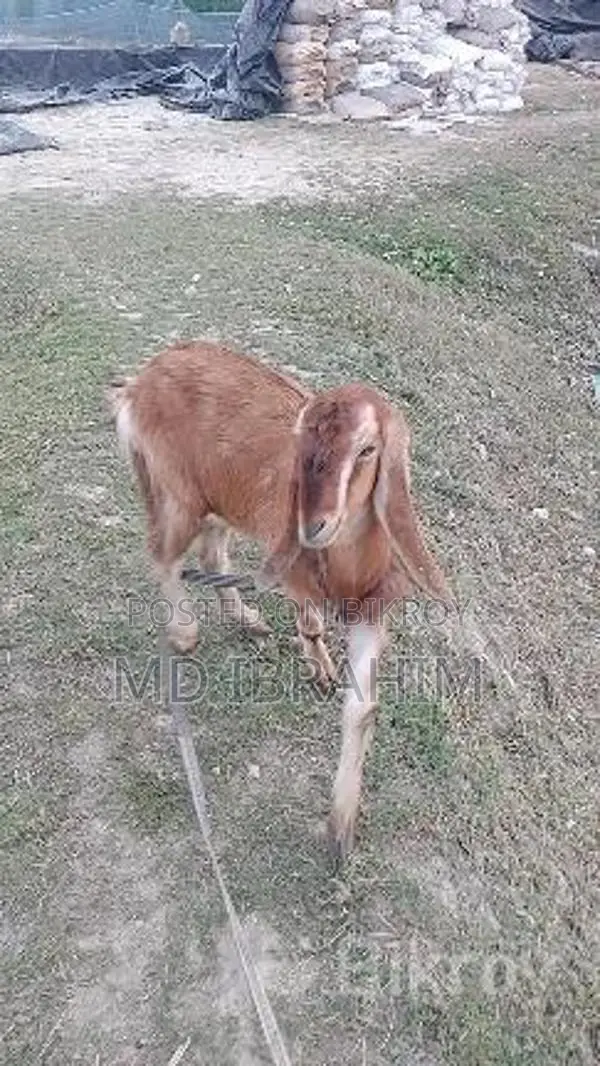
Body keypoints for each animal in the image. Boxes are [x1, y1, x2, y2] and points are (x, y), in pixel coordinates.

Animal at [107, 340, 452, 859]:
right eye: (302, 447)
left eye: (368, 449)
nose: (315, 525)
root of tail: (141, 380)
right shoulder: (293, 572)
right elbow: (310, 623)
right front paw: (320, 668)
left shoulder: (372, 613)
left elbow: (362, 710)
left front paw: (340, 831)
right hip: (178, 490)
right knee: (163, 553)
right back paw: (185, 633)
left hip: (217, 496)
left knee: (210, 550)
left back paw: (245, 618)